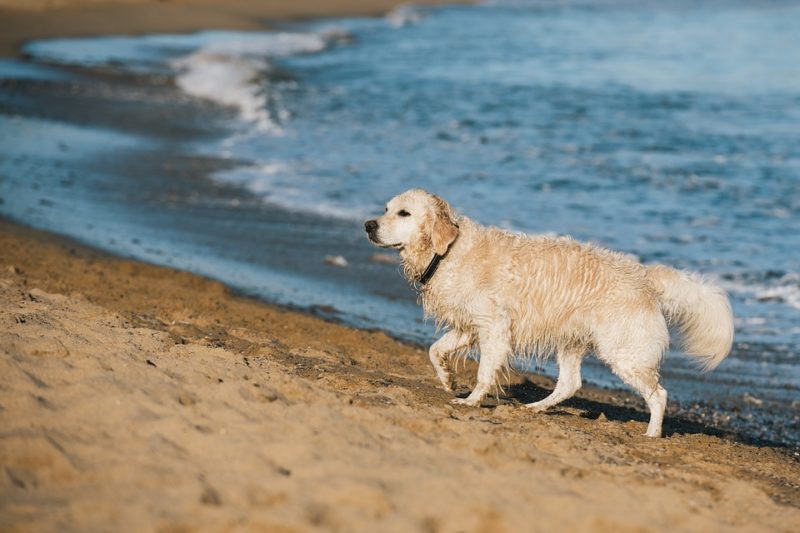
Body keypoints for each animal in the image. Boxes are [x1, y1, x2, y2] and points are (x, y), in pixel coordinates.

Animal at [366, 188, 736, 436]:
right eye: (386, 209)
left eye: (404, 214)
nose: (368, 225)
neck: (447, 251)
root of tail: (645, 276)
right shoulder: (470, 325)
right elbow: (434, 349)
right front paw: (447, 378)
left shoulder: (494, 327)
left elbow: (484, 372)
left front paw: (471, 401)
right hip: (571, 341)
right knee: (571, 384)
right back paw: (536, 407)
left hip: (624, 351)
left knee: (658, 394)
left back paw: (652, 434)